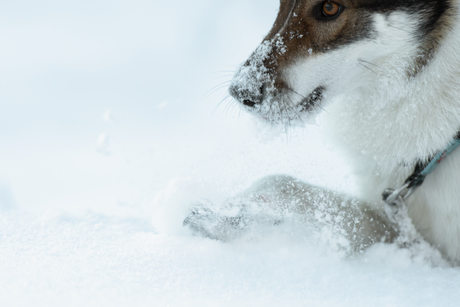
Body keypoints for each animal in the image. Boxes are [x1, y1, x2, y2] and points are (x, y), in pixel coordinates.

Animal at [183, 0, 460, 264]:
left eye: (329, 7)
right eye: (281, 4)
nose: (241, 92)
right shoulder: (399, 227)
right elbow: (280, 182)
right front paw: (230, 214)